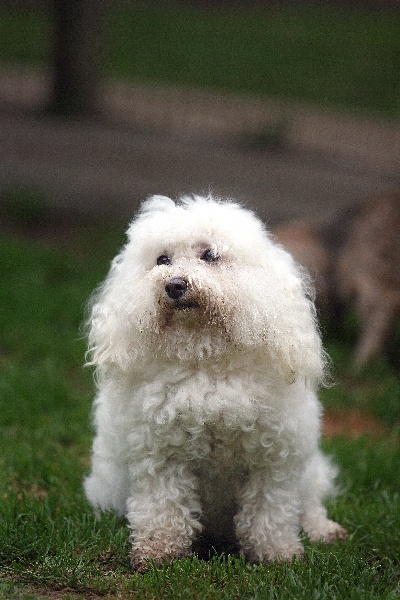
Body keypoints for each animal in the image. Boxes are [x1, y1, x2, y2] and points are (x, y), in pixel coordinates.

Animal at [84, 195, 346, 568]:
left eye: (210, 255)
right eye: (162, 259)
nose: (174, 285)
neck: (204, 359)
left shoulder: (273, 460)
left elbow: (270, 511)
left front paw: (276, 553)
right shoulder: (159, 457)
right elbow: (164, 508)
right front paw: (157, 552)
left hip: (308, 471)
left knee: (309, 504)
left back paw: (324, 531)